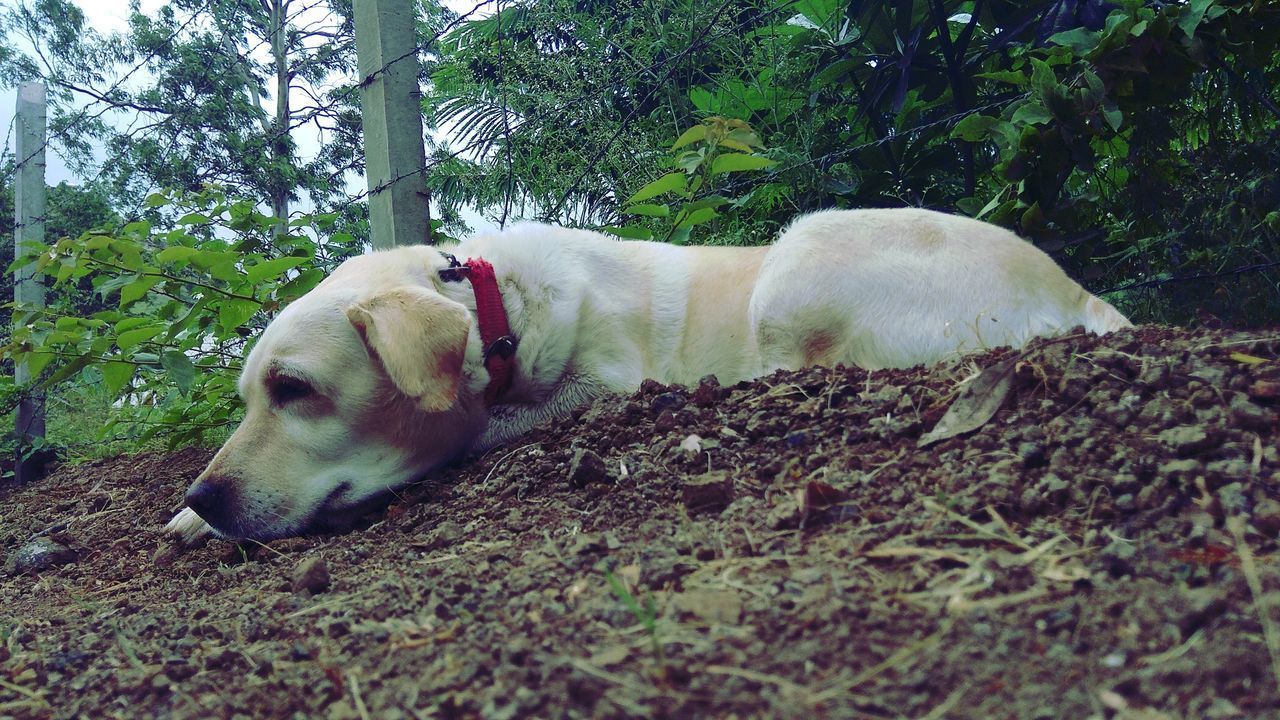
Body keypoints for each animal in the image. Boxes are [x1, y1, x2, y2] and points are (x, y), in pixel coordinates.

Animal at [162, 207, 1131, 538]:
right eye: (251, 396)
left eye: (294, 390)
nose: (206, 495)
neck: (498, 310)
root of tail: (1082, 295)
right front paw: (186, 514)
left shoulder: (602, 387)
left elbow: (467, 432)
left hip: (795, 261)